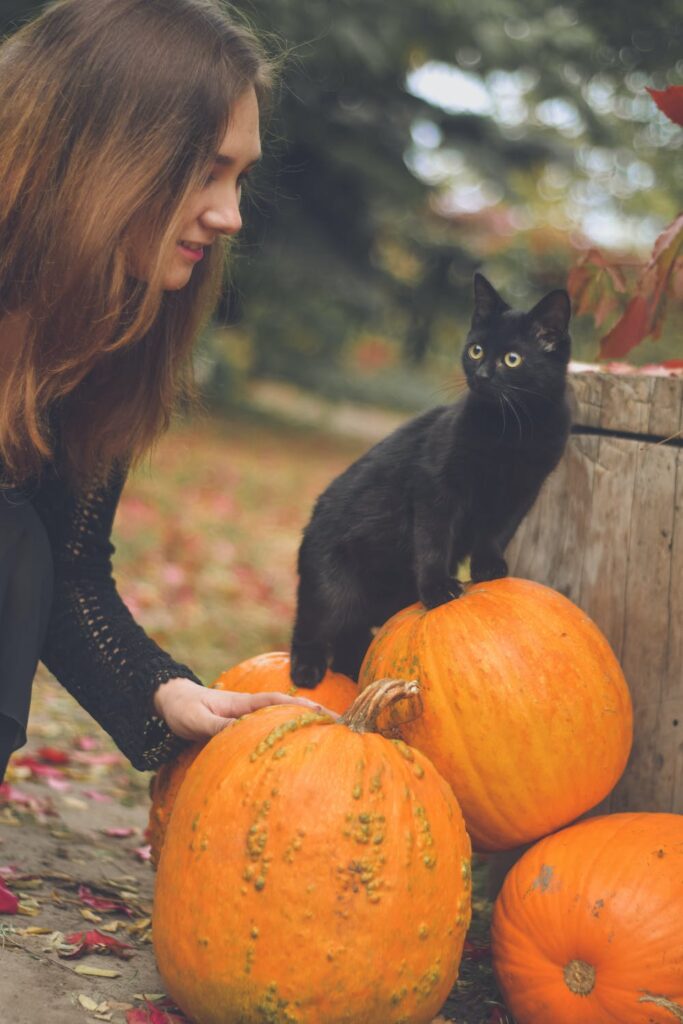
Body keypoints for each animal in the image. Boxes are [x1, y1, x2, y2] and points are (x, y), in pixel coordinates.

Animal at [290, 274, 573, 688]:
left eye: (512, 359)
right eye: (475, 350)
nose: (481, 375)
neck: (512, 430)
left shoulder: (524, 491)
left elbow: (496, 532)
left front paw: (488, 568)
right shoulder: (436, 487)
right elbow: (434, 541)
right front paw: (438, 589)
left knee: (348, 635)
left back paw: (357, 671)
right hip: (331, 586)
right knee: (314, 620)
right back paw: (307, 669)